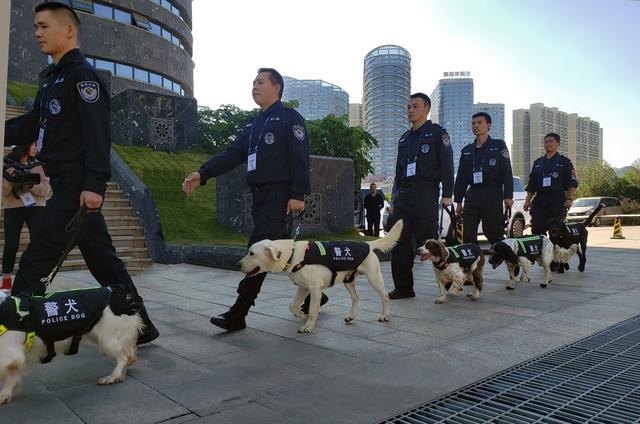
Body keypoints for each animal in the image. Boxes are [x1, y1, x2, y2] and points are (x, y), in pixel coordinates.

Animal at [0, 284, 142, 404]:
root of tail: (118, 293)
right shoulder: (17, 358)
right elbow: (13, 375)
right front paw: (5, 394)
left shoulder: (12, 354)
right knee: (130, 356)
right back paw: (121, 376)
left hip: (107, 340)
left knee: (124, 358)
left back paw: (113, 377)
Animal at [235, 220, 404, 332]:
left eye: (252, 253)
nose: (237, 265)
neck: (292, 254)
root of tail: (368, 244)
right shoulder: (303, 288)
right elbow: (292, 306)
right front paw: (301, 316)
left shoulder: (315, 288)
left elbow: (312, 311)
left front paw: (308, 326)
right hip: (348, 280)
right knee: (356, 298)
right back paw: (351, 316)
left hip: (373, 277)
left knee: (385, 297)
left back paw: (385, 316)